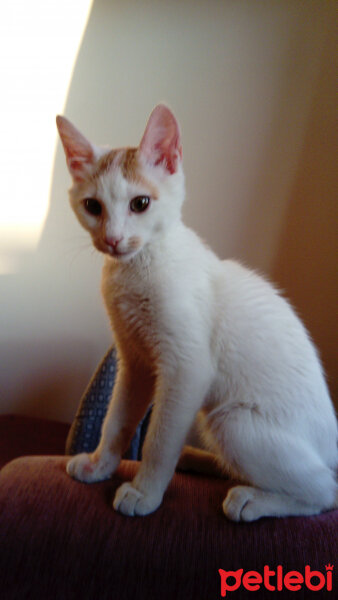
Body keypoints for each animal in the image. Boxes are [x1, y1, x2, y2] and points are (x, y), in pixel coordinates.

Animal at [56, 106, 336, 520]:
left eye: (141, 203)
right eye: (93, 206)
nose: (113, 239)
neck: (135, 269)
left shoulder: (186, 368)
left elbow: (158, 440)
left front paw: (145, 493)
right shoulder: (135, 362)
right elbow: (117, 420)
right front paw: (98, 465)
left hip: (231, 420)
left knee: (326, 491)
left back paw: (252, 500)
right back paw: (200, 459)